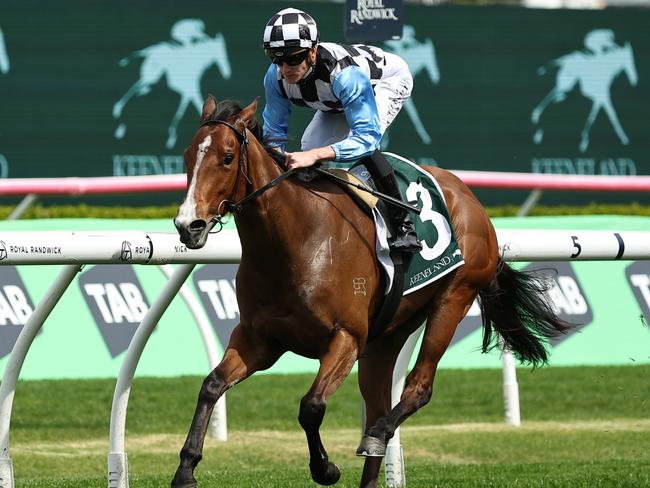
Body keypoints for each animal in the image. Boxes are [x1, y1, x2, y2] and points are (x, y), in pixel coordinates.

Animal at [170, 96, 564, 488]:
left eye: (227, 157)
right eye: (188, 156)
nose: (189, 225)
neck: (294, 241)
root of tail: (469, 197)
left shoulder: (346, 337)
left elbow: (311, 406)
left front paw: (325, 468)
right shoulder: (259, 340)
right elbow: (211, 385)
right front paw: (186, 469)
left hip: (453, 297)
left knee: (417, 388)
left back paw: (376, 434)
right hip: (387, 336)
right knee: (377, 402)